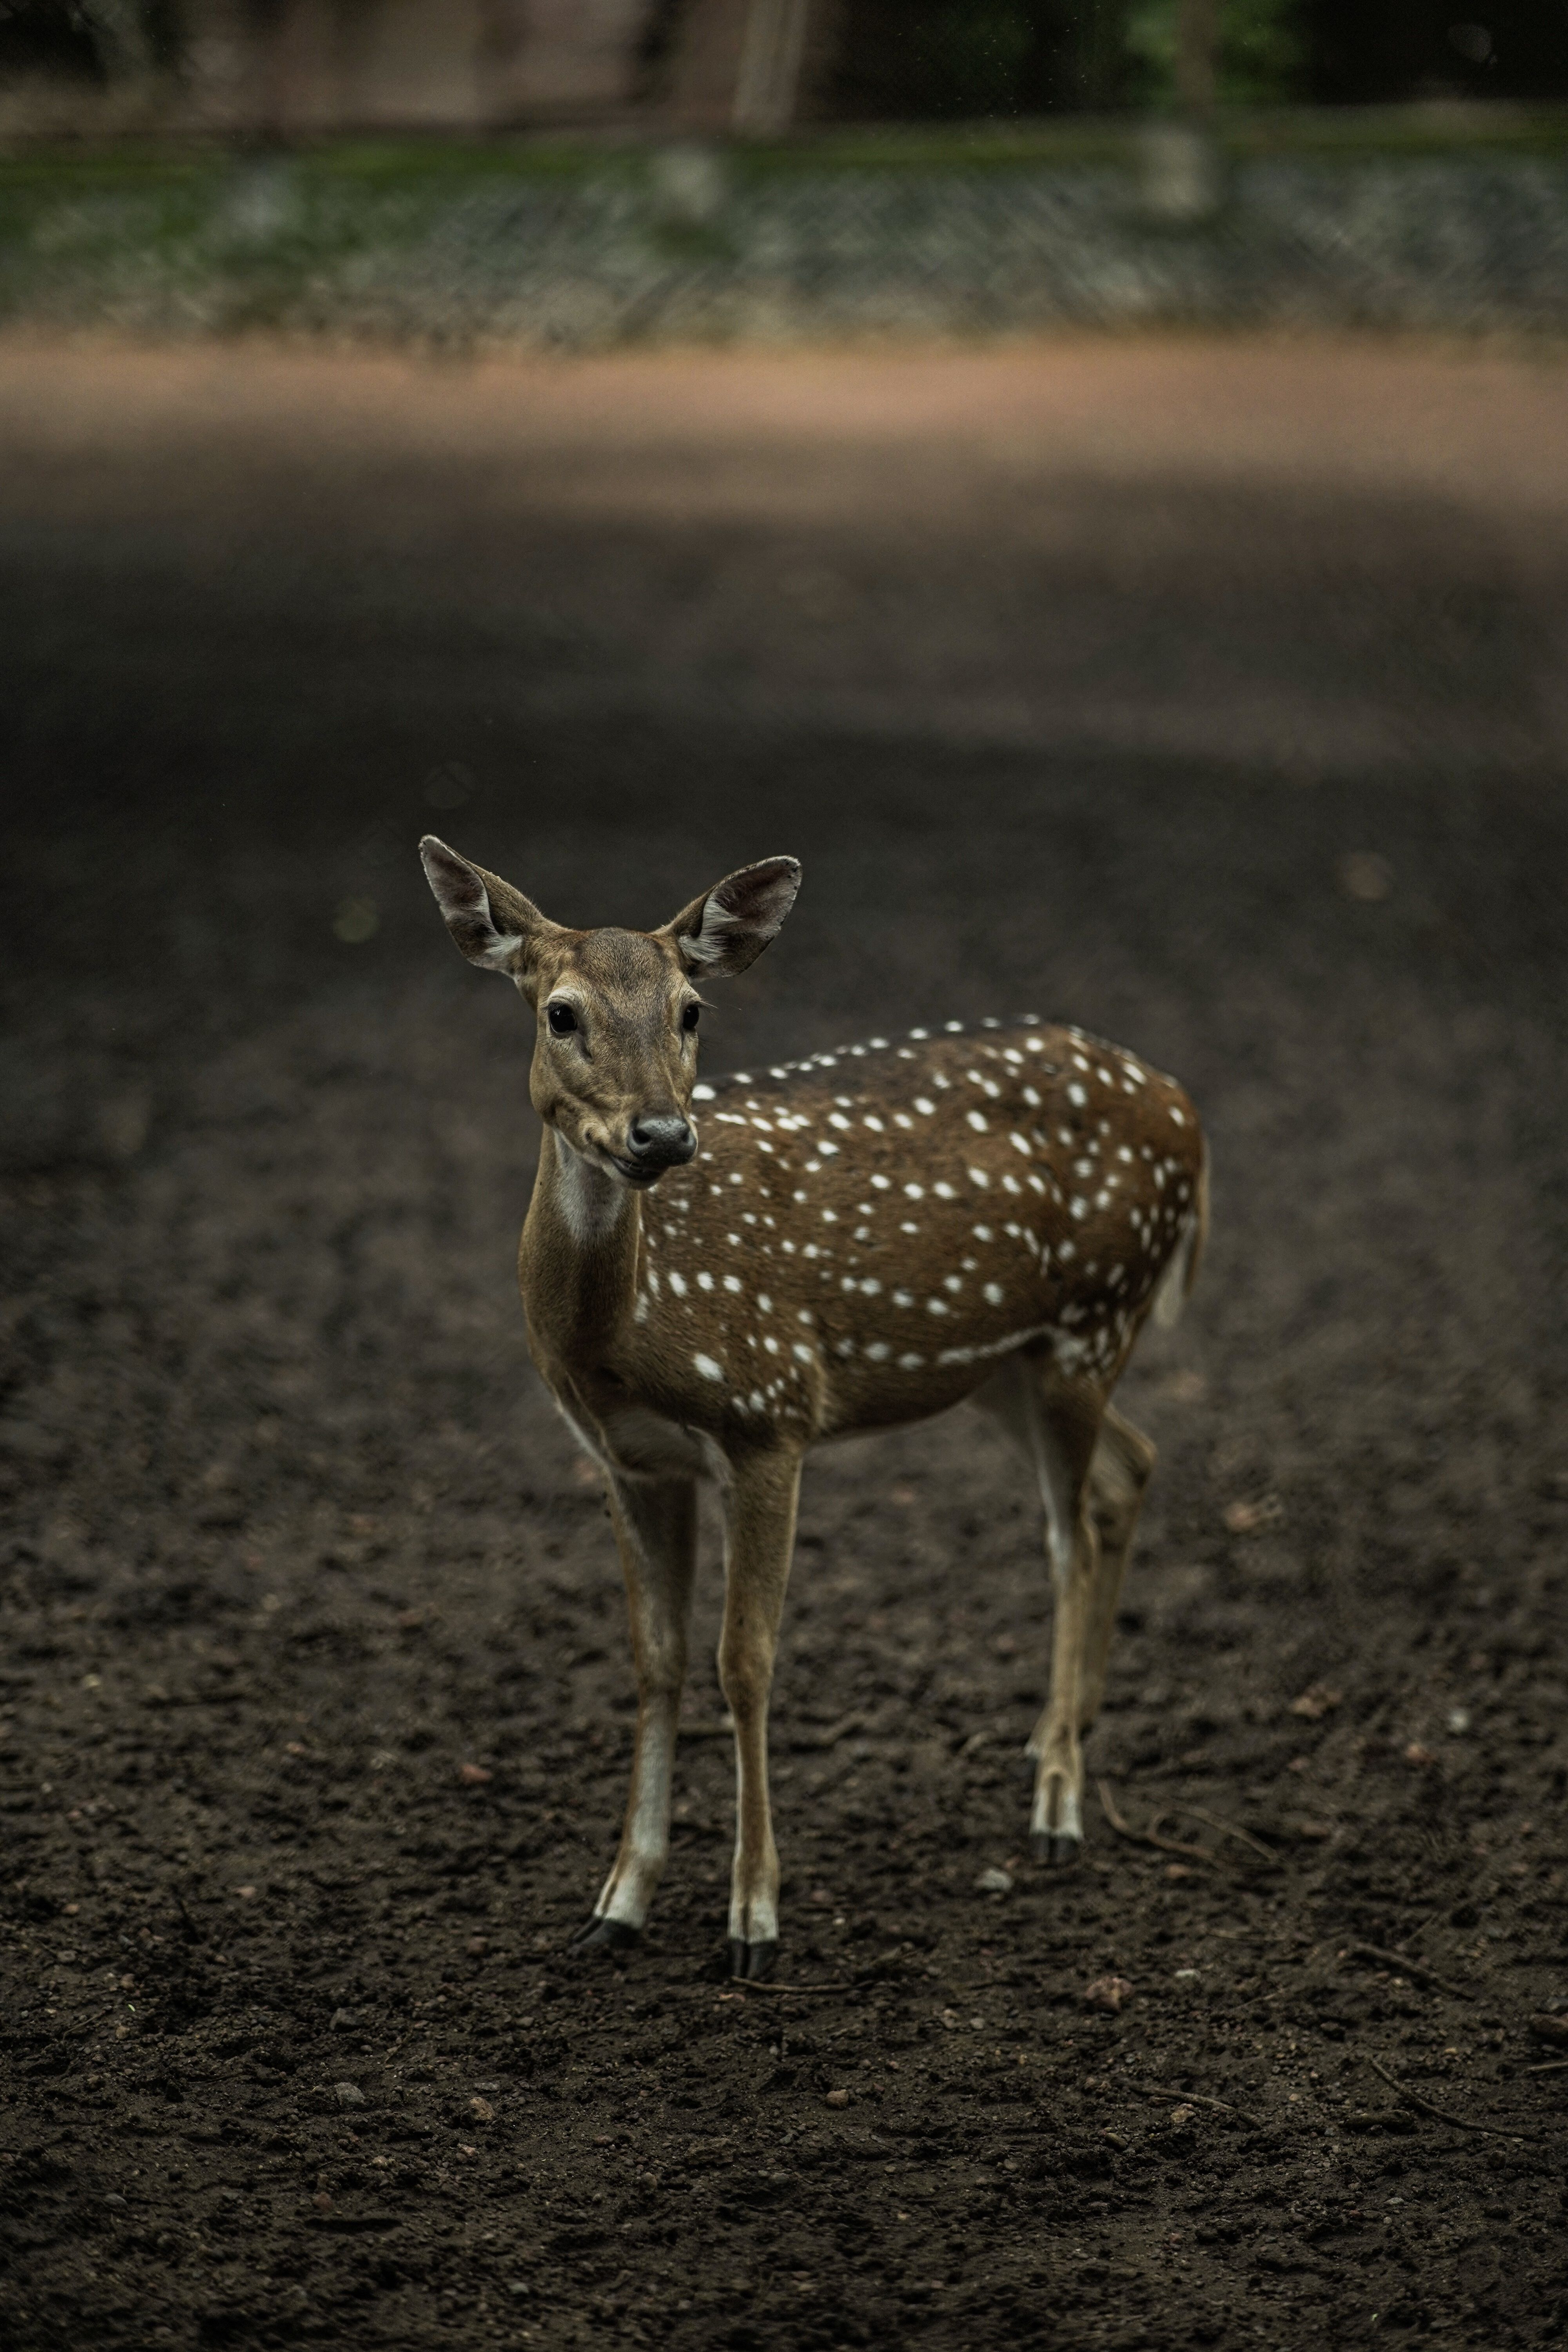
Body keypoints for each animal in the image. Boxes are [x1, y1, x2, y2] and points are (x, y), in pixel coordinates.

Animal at [420, 837, 1207, 1981]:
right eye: (559, 1012)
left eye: (693, 1008)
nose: (662, 1134)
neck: (624, 1336)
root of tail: (1186, 1108)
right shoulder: (628, 1459)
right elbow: (654, 1662)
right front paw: (617, 1903)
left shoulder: (769, 1412)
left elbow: (743, 1661)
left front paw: (753, 1917)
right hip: (1003, 1364)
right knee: (1129, 1467)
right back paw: (1062, 1733)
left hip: (1093, 1319)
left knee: (1069, 1535)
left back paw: (1057, 1803)